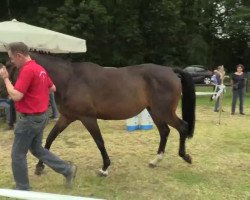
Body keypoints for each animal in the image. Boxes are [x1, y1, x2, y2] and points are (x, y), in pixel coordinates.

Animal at [5, 52, 195, 176]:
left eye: (7, 67)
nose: (7, 94)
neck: (70, 79)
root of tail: (170, 71)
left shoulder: (88, 118)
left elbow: (99, 142)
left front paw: (104, 168)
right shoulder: (67, 117)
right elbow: (50, 138)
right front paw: (39, 167)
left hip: (163, 111)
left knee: (182, 127)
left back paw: (185, 156)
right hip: (154, 111)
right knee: (165, 131)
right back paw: (156, 161)